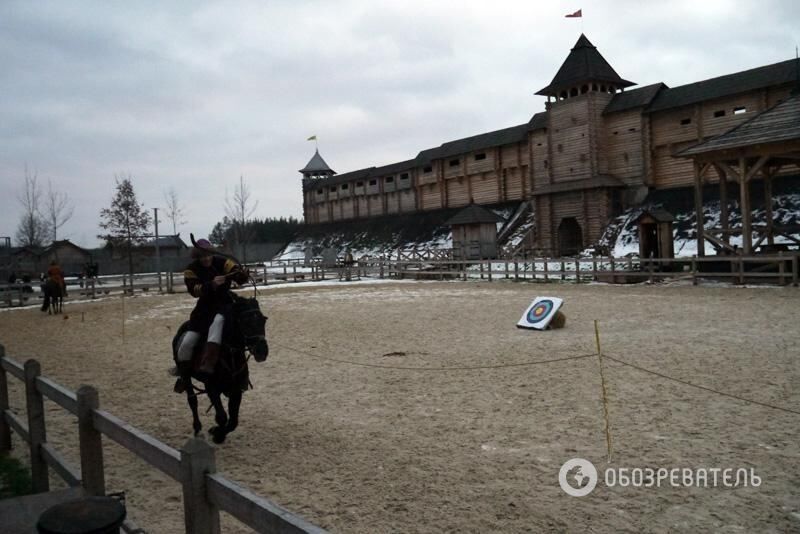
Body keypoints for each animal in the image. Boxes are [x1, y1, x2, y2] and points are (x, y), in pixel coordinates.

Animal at [169, 296, 268, 446]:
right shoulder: (212, 388)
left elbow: (233, 422)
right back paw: (197, 428)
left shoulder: (236, 390)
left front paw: (217, 433)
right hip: (186, 376)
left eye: (263, 320)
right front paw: (217, 434)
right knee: (192, 401)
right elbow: (222, 417)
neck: (229, 353)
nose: (262, 351)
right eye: (245, 322)